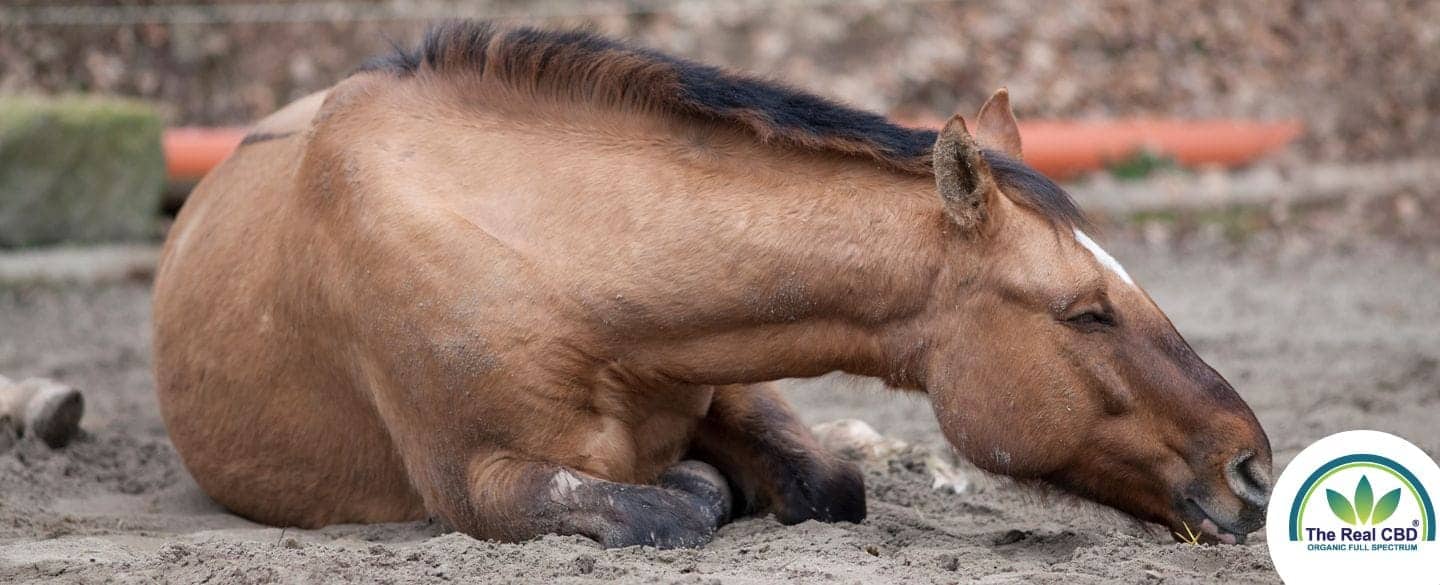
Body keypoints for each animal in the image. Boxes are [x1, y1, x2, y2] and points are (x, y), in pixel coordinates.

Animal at [152, 21, 1272, 548]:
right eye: (1085, 311)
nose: (1254, 468)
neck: (557, 260)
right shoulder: (479, 483)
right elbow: (669, 506)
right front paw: (701, 488)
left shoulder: (731, 372)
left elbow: (828, 483)